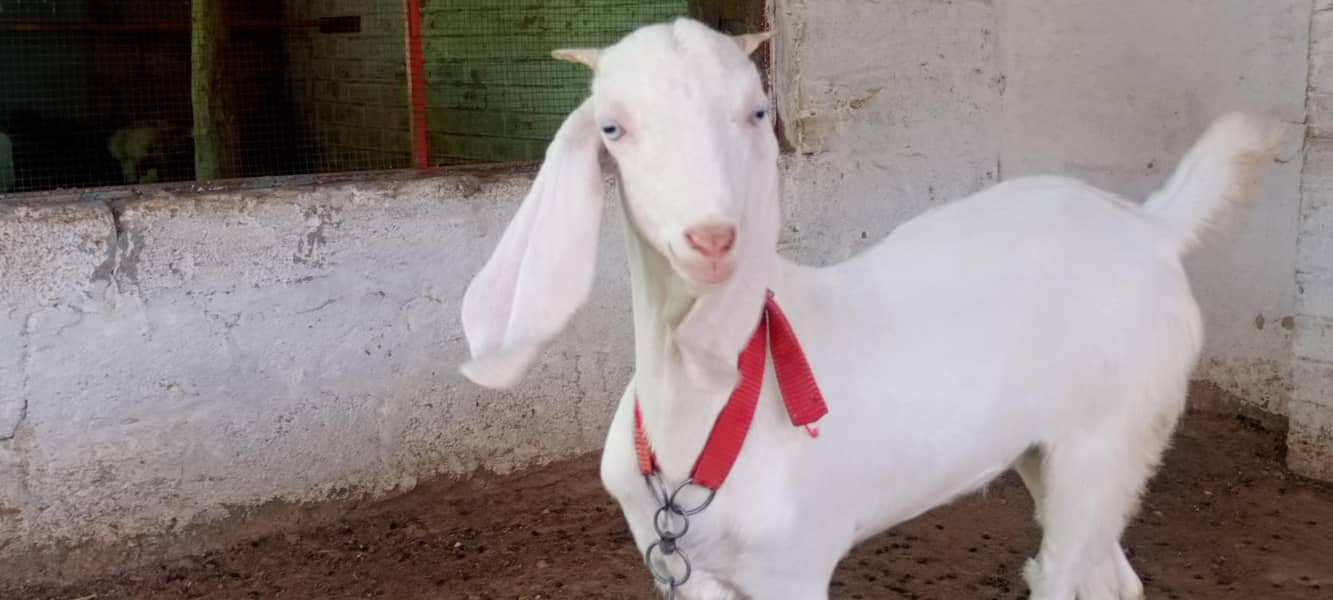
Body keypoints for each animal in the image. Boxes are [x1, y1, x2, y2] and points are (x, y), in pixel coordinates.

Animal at [458, 17, 1290, 600]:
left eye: (756, 113)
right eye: (612, 127)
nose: (713, 239)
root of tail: (1153, 226)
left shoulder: (792, 567)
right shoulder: (677, 567)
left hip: (1114, 425)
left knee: (1062, 570)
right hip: (1048, 445)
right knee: (1105, 572)